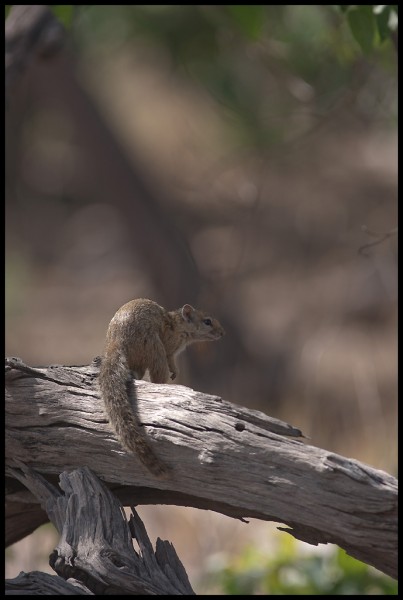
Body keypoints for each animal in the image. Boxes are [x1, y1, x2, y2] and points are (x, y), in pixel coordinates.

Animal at [98, 298, 224, 478]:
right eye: (207, 321)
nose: (222, 333)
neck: (179, 325)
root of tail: (115, 343)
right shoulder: (170, 349)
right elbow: (171, 360)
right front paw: (175, 371)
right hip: (155, 348)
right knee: (157, 375)